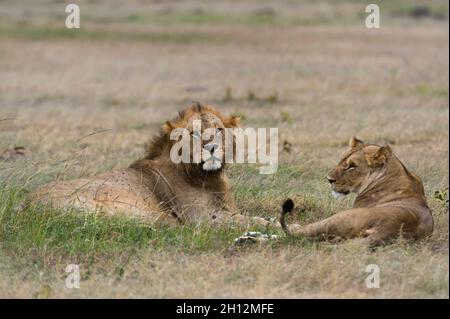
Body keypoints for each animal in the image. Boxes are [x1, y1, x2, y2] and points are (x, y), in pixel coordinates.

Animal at [26, 104, 274, 229]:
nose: (211, 146)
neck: (208, 176)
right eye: (193, 133)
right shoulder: (202, 218)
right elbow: (251, 222)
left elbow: (256, 218)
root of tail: (27, 207)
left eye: (220, 130)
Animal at [280, 138, 434, 248]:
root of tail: (386, 229)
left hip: (339, 218)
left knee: (296, 232)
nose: (329, 179)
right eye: (341, 160)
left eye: (352, 166)